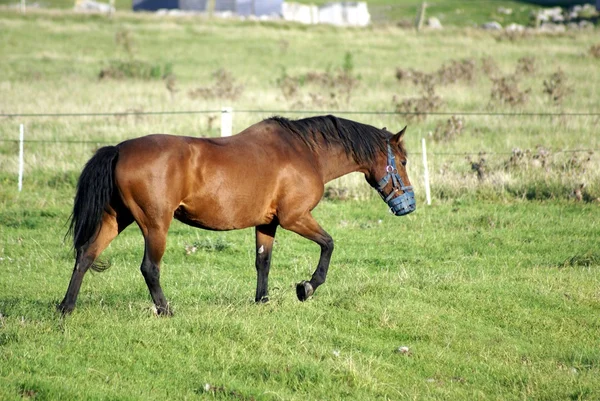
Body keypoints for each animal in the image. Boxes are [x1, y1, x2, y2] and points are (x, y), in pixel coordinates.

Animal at [58, 114, 414, 314]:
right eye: (404, 161)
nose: (408, 205)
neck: (306, 151)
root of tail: (119, 149)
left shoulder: (268, 224)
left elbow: (263, 262)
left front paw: (263, 301)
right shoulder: (295, 218)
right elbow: (328, 244)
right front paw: (306, 288)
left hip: (116, 218)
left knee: (85, 255)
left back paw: (66, 307)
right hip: (155, 223)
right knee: (149, 268)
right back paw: (165, 309)